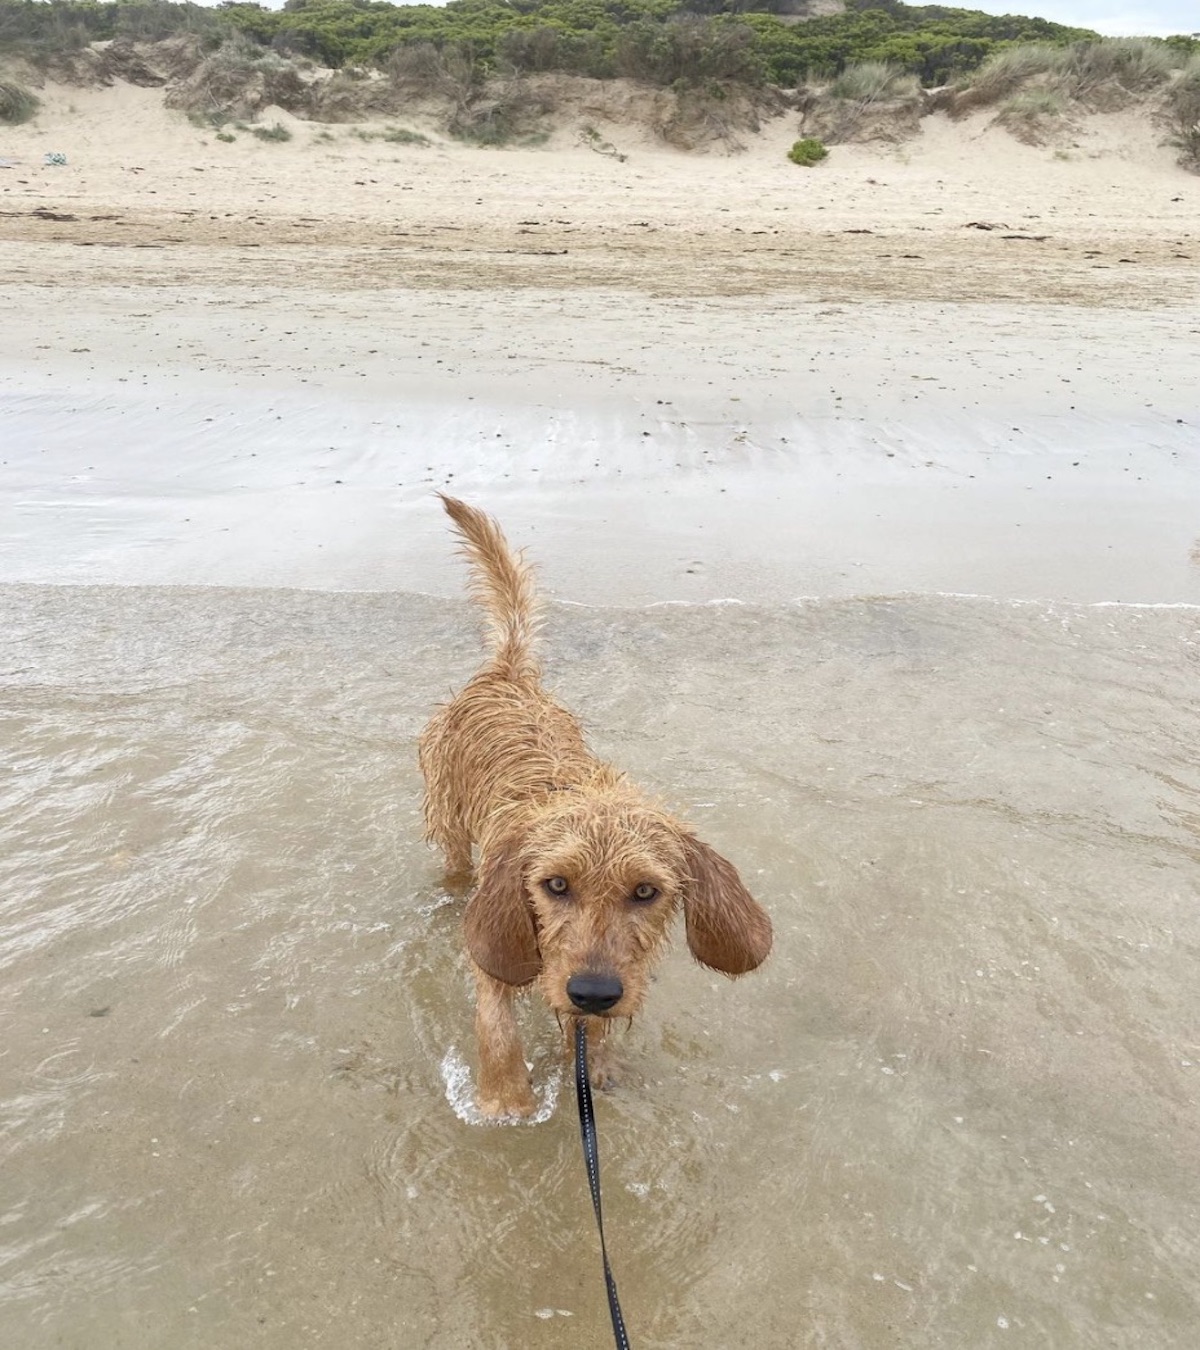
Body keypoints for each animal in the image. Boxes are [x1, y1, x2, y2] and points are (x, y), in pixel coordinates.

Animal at [415, 499, 772, 1117]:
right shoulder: (499, 940)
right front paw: (506, 1099)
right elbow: (496, 1028)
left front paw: (596, 1061)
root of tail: (507, 672)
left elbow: (589, 1035)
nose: (594, 992)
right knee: (456, 863)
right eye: (555, 885)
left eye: (646, 891)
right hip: (450, 816)